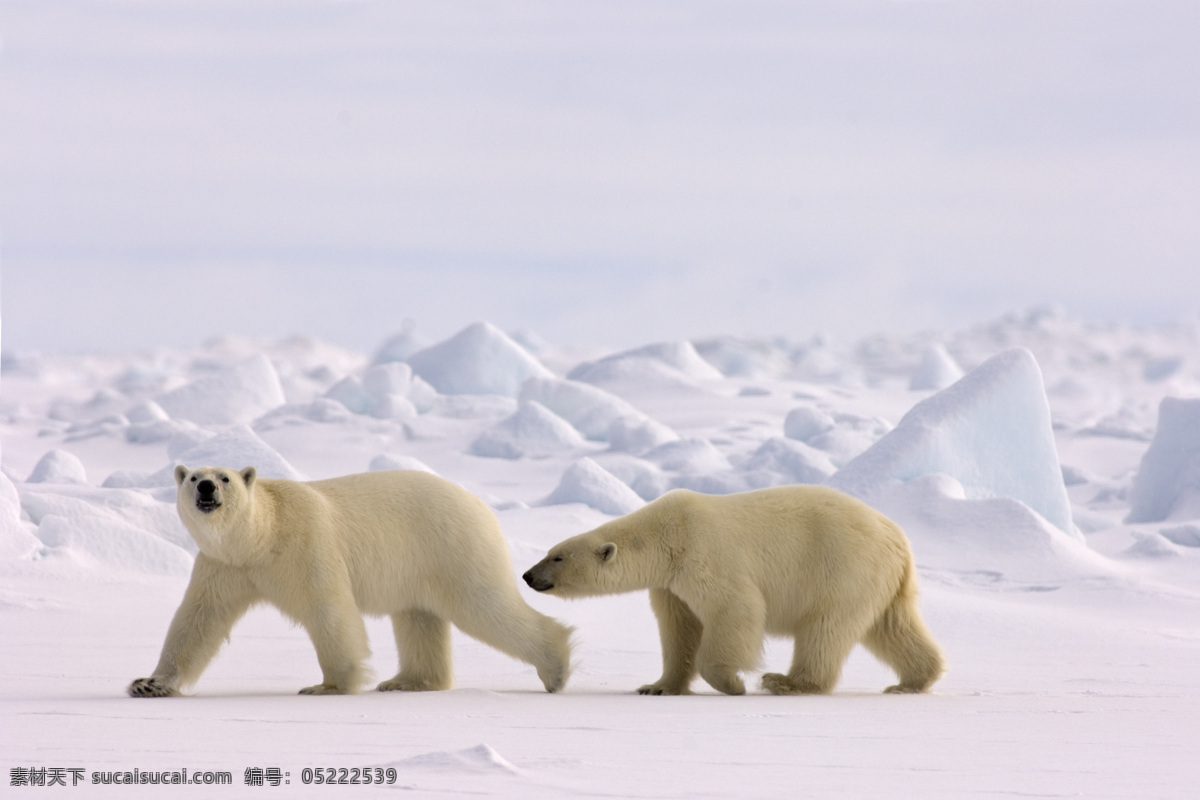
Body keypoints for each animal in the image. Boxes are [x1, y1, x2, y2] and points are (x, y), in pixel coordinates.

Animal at [129, 465, 573, 695]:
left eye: (224, 477)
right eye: (192, 477)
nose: (205, 486)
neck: (260, 537)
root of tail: (481, 505)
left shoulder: (306, 544)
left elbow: (329, 609)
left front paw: (330, 686)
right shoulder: (224, 566)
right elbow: (197, 619)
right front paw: (149, 683)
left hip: (451, 546)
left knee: (484, 605)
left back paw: (555, 668)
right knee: (419, 617)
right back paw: (408, 681)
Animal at [520, 484, 940, 695]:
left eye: (557, 557)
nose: (527, 576)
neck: (666, 533)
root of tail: (898, 540)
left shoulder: (704, 555)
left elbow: (735, 609)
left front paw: (733, 684)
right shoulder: (671, 584)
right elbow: (680, 628)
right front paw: (657, 687)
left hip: (843, 568)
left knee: (826, 628)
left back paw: (786, 682)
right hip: (881, 581)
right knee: (892, 627)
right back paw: (913, 681)